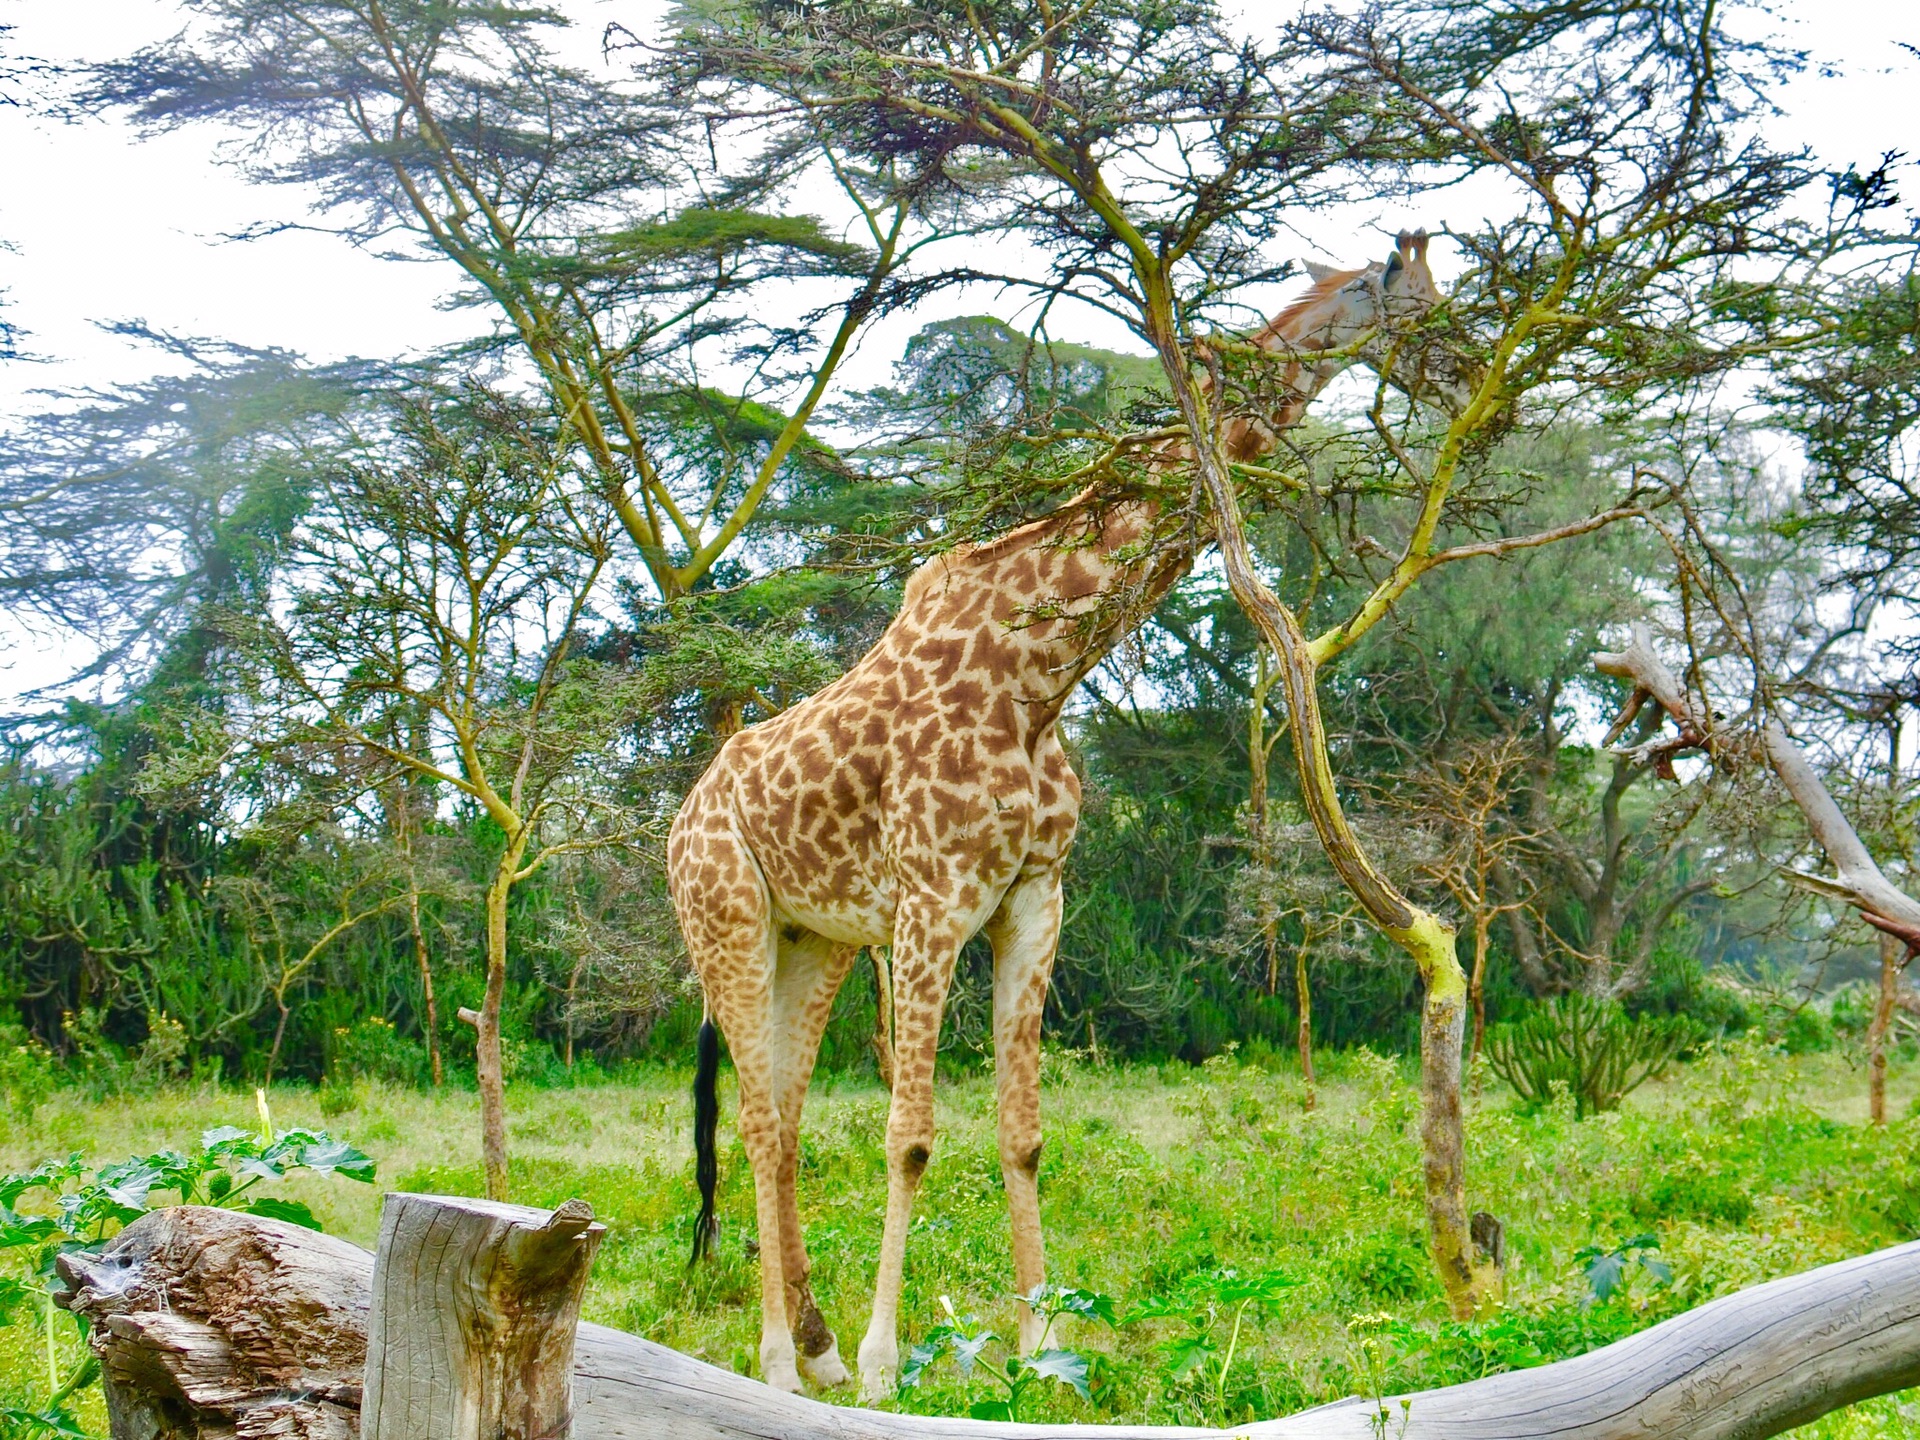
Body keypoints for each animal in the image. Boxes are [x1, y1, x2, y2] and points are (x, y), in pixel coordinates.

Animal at [672, 231, 1443, 1405]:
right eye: (1419, 308)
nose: (1463, 365)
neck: (1040, 669)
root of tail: (678, 820)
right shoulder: (935, 902)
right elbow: (909, 1135)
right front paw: (889, 1363)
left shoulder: (1035, 895)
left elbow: (1023, 1132)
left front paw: (1041, 1348)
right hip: (728, 921)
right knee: (760, 1123)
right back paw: (781, 1363)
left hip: (816, 940)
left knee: (788, 1122)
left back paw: (812, 1343)